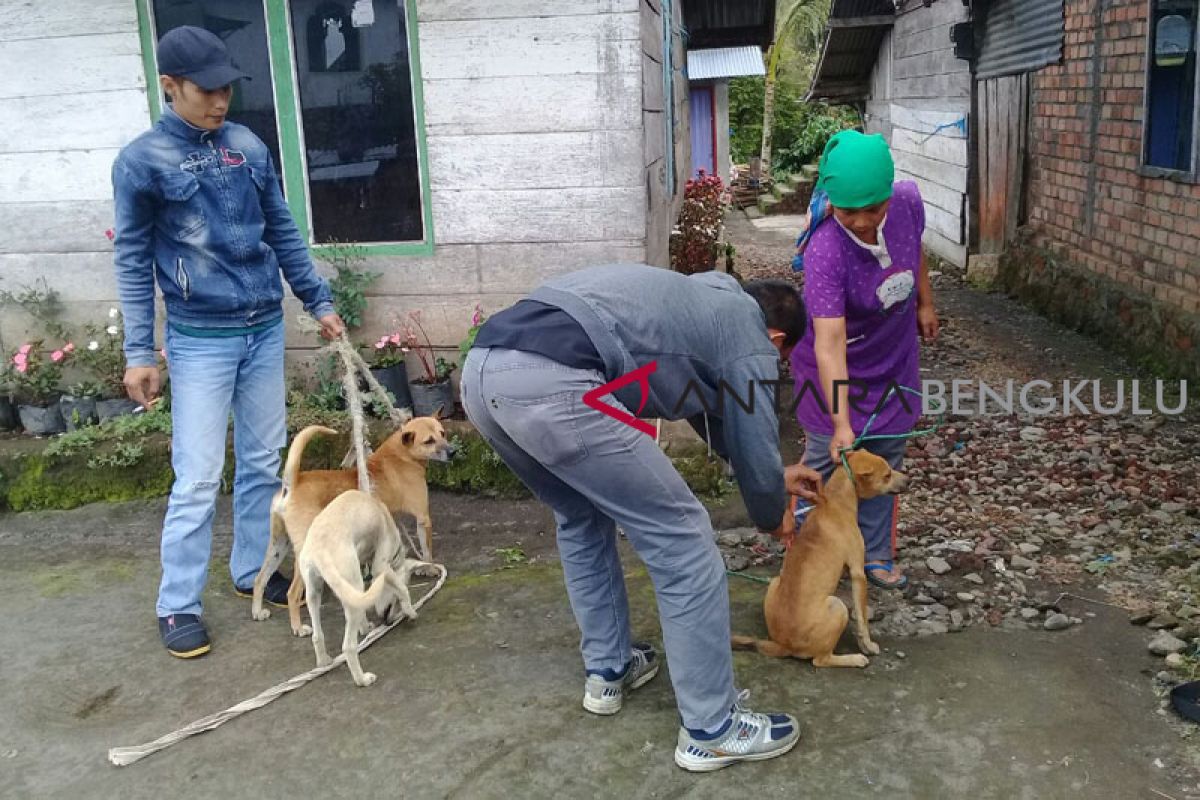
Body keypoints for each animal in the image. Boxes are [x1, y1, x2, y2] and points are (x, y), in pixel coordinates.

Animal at [249, 417, 453, 633]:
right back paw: (298, 627)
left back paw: (257, 611)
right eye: (429, 440)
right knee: (292, 593)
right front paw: (430, 569)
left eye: (443, 433)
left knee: (259, 579)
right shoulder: (423, 518)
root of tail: (293, 483)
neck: (401, 454)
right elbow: (427, 550)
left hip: (278, 545)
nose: (453, 451)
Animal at [296, 491, 422, 686]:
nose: (389, 622)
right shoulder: (380, 567)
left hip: (314, 592)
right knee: (348, 647)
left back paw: (324, 661)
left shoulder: (361, 578)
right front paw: (410, 611)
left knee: (317, 636)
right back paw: (362, 679)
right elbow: (402, 588)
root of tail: (321, 550)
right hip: (350, 587)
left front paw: (365, 628)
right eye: (394, 601)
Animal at [729, 450, 907, 671]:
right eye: (887, 475)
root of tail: (783, 645)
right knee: (820, 660)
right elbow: (863, 619)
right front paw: (867, 644)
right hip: (837, 606)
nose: (908, 480)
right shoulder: (858, 573)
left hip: (775, 582)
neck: (835, 500)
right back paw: (854, 659)